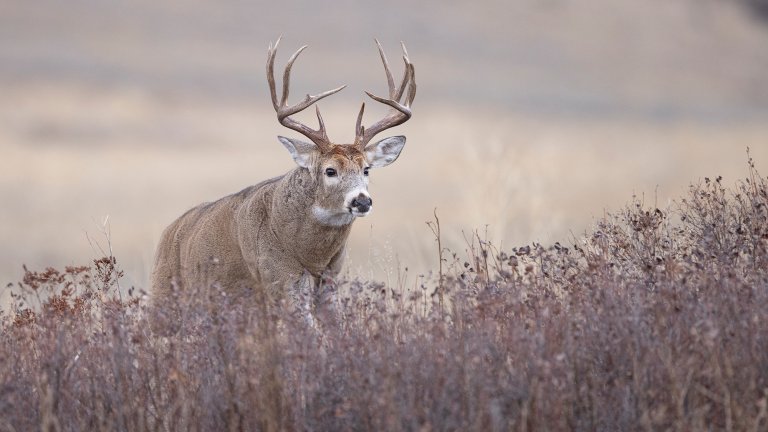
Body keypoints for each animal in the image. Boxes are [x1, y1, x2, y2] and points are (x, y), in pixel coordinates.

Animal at [150, 37, 416, 327]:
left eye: (366, 169)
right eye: (330, 170)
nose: (362, 201)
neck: (311, 254)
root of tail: (168, 232)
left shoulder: (330, 279)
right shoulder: (279, 277)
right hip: (164, 295)